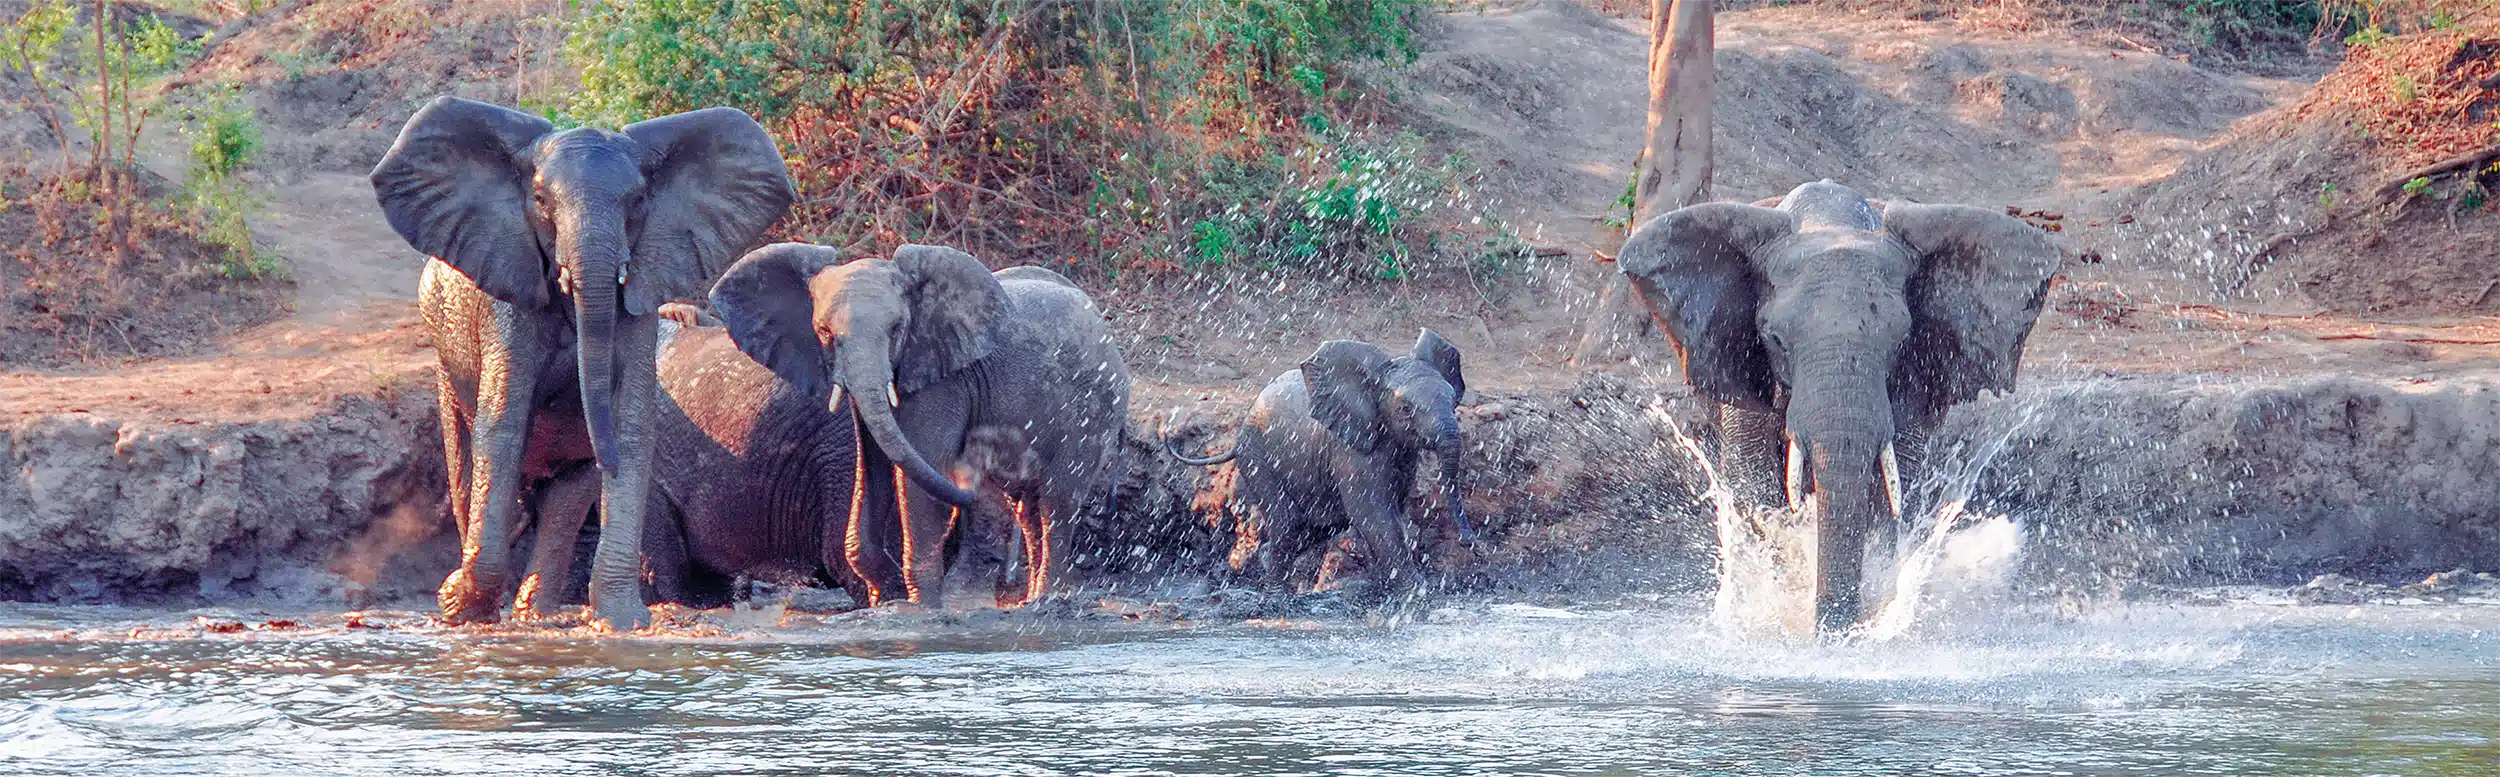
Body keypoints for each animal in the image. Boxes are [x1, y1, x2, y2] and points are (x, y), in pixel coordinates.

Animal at [372, 97, 790, 634]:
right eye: (541, 200)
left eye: (637, 202)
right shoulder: (508, 299)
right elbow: (502, 426)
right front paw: (458, 607)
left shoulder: (641, 296)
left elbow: (631, 427)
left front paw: (623, 621)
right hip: (444, 356)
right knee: (463, 456)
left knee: (567, 491)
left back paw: (537, 613)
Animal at [705, 242, 1135, 609]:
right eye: (824, 332)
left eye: (897, 329)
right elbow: (874, 464)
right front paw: (884, 597)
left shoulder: (941, 380)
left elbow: (920, 470)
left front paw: (921, 607)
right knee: (1027, 506)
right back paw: (1031, 599)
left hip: (1092, 409)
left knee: (1057, 499)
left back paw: (1048, 599)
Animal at [1165, 332, 1470, 607]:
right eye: (1406, 409)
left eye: (1452, 398)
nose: (1468, 542)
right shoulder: (1350, 450)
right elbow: (1374, 514)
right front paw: (1418, 594)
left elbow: (1391, 512)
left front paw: (1385, 592)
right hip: (1257, 456)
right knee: (1287, 522)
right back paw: (1275, 598)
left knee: (1314, 527)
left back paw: (1266, 563)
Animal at [1610, 181, 2060, 634]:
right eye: (1774, 339)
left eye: (1900, 340)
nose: (1831, 629)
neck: (1831, 222)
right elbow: (1754, 477)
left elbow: (1889, 489)